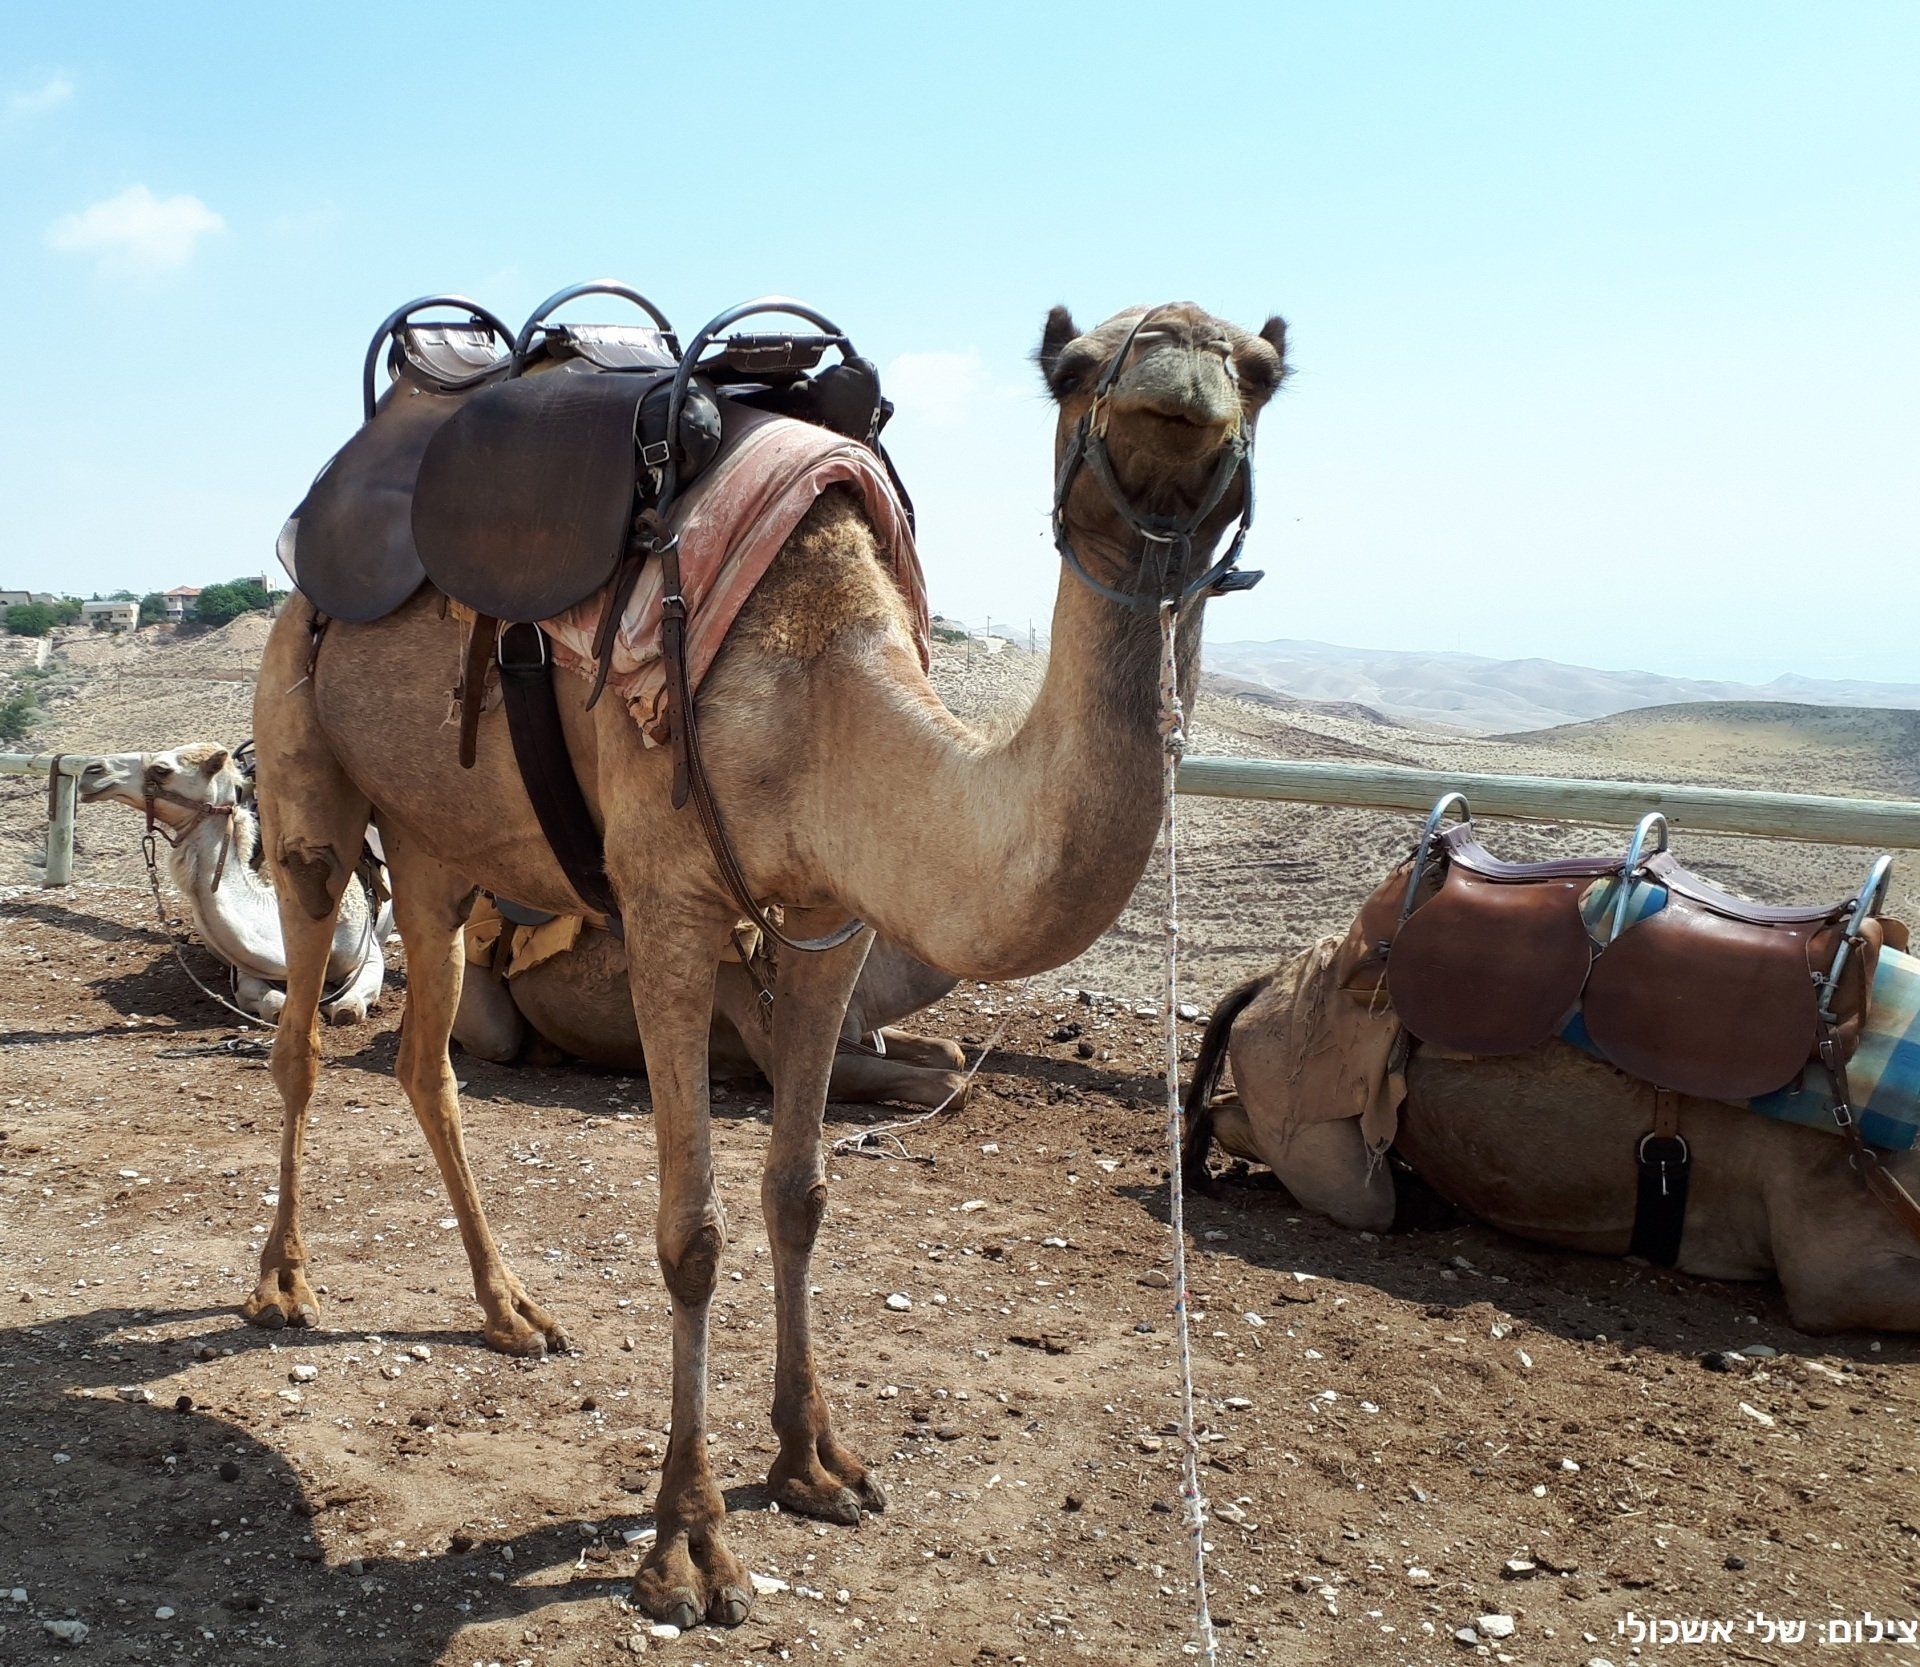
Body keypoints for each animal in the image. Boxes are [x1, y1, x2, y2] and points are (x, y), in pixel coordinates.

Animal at [76, 745, 388, 1023]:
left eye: (162, 769)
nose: (92, 770)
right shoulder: (244, 973)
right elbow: (274, 1006)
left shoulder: (367, 953)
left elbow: (349, 1007)